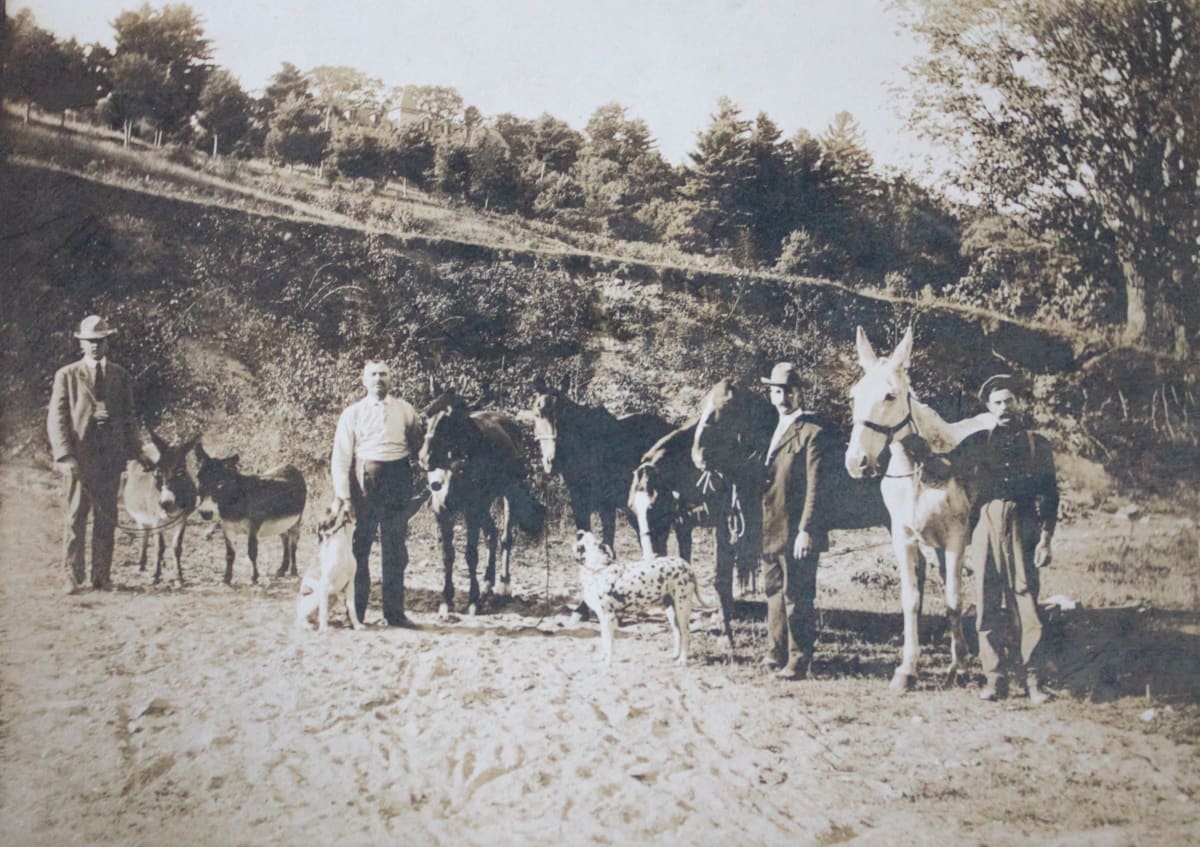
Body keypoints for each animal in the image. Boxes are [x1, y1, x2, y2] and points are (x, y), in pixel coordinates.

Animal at [415, 393, 542, 619]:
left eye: (448, 420)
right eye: (427, 417)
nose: (424, 458)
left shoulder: (471, 510)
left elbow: (471, 555)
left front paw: (473, 602)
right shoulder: (442, 512)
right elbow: (447, 555)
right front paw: (446, 600)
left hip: (506, 495)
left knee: (505, 537)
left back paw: (503, 586)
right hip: (485, 504)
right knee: (492, 533)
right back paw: (487, 585)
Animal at [568, 527, 700, 667]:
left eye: (586, 541)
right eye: (583, 537)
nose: (580, 532)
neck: (598, 570)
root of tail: (687, 565)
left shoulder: (608, 617)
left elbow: (608, 643)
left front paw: (607, 662)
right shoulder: (604, 618)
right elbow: (606, 641)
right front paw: (603, 657)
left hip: (682, 609)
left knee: (686, 635)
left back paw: (682, 660)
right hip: (671, 611)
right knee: (677, 632)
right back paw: (675, 655)